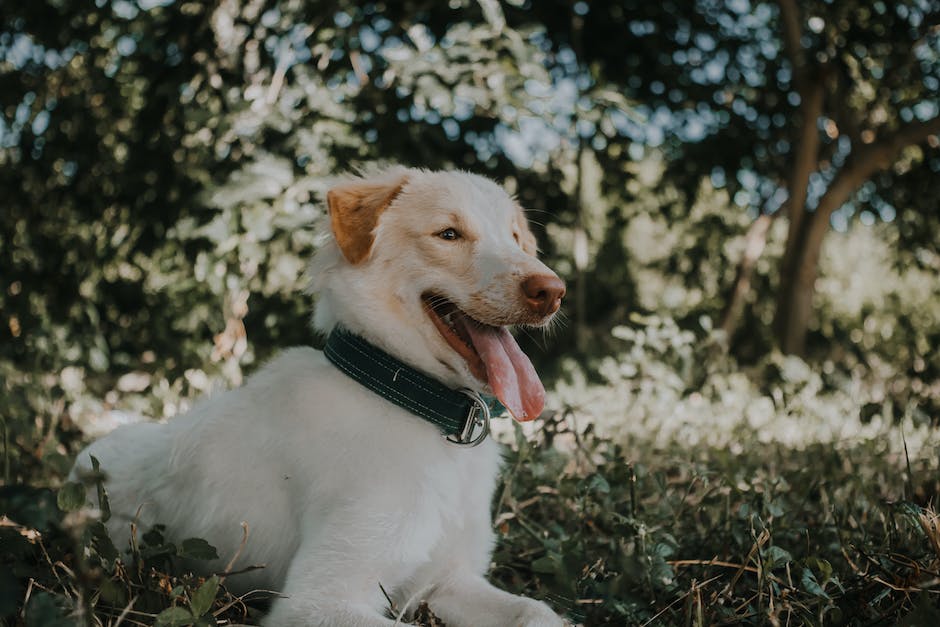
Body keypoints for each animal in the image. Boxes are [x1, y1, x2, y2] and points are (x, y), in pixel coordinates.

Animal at [71, 168, 564, 627]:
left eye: (516, 239)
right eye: (448, 234)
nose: (552, 292)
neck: (418, 410)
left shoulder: (447, 580)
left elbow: (539, 612)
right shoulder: (316, 601)